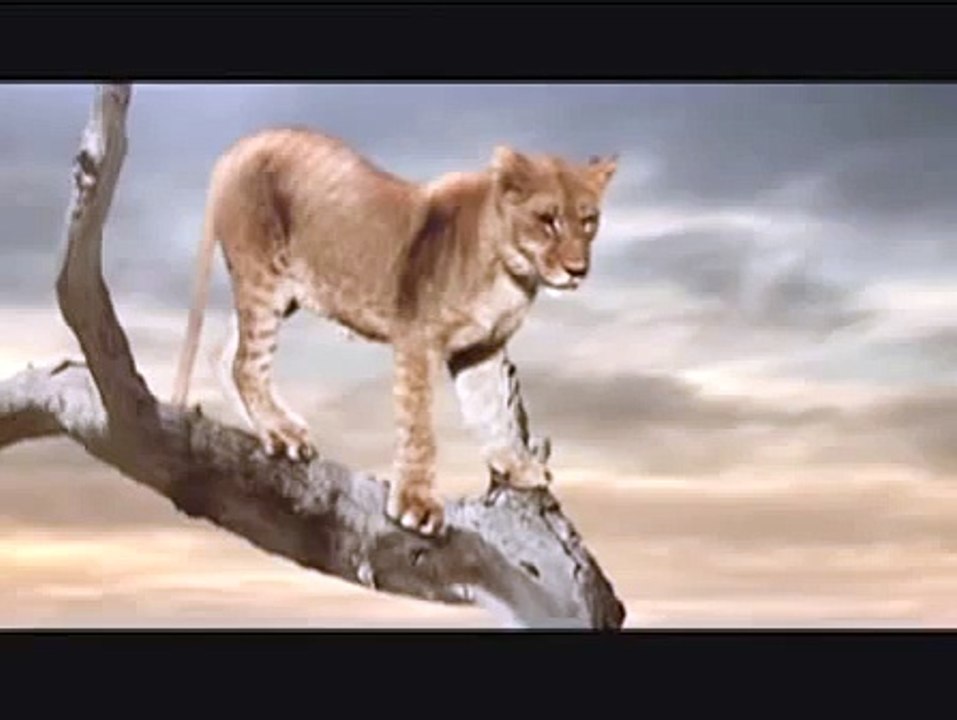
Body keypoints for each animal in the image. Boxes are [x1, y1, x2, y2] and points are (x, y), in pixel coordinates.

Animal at [170, 127, 617, 536]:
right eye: (548, 220)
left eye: (588, 221)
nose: (578, 270)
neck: (512, 273)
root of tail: (240, 146)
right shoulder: (417, 340)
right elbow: (420, 428)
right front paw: (416, 506)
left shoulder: (482, 350)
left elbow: (491, 413)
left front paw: (517, 468)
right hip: (263, 278)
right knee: (247, 362)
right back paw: (282, 434)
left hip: (283, 294)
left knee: (224, 354)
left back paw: (269, 428)